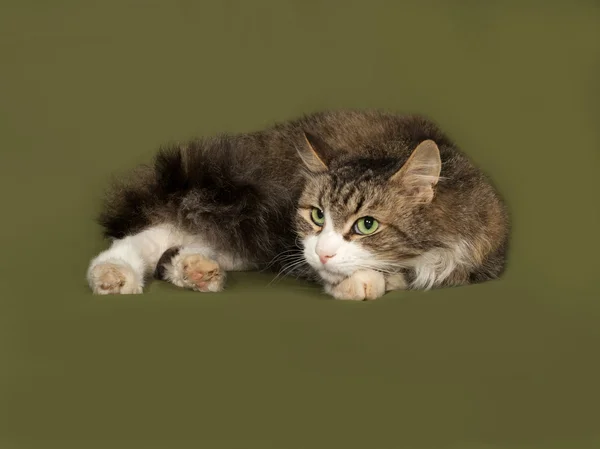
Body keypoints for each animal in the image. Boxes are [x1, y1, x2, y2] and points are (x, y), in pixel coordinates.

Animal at [88, 108, 510, 300]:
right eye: (317, 215)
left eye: (367, 224)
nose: (323, 252)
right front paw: (359, 281)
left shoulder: (476, 258)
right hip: (239, 201)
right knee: (157, 230)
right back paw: (113, 273)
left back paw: (195, 269)